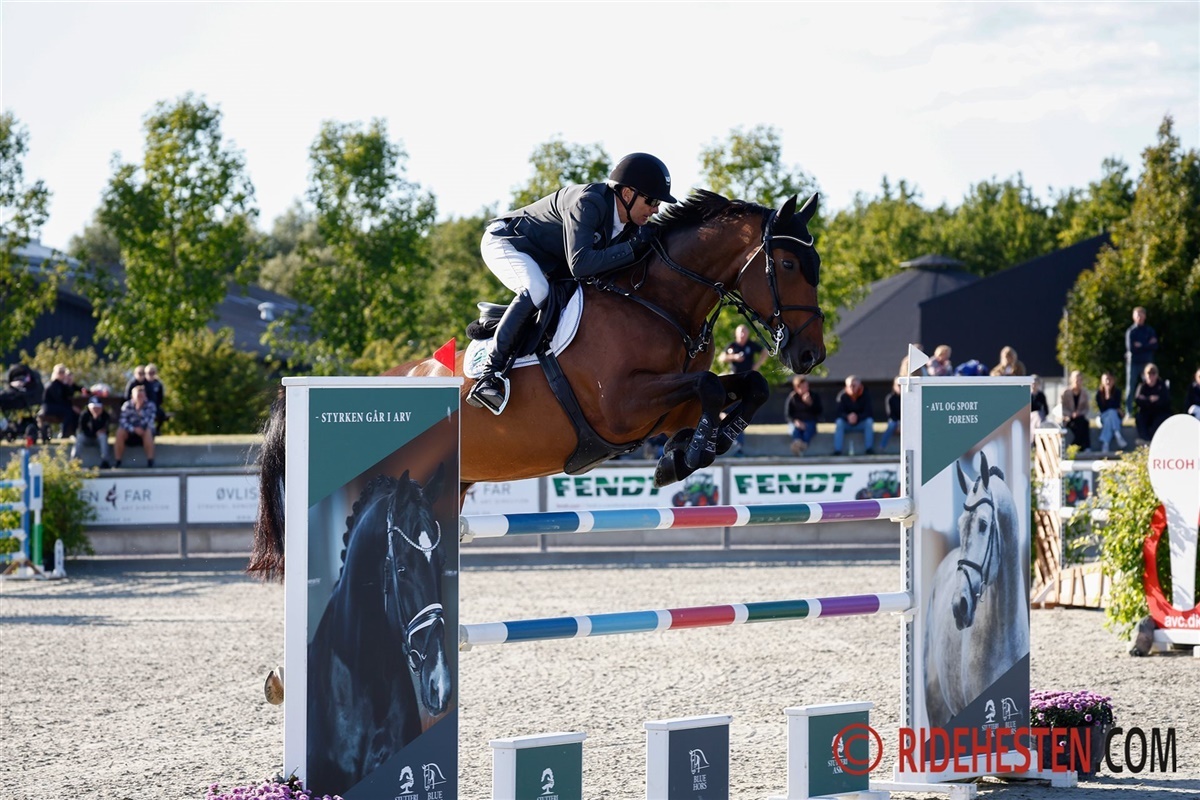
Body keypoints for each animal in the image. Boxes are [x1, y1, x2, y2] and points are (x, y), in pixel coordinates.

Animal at [250, 189, 824, 579]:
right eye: (788, 263)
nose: (810, 354)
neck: (656, 299)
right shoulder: (622, 407)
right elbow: (709, 386)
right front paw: (691, 453)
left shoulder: (665, 405)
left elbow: (744, 385)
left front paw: (691, 451)